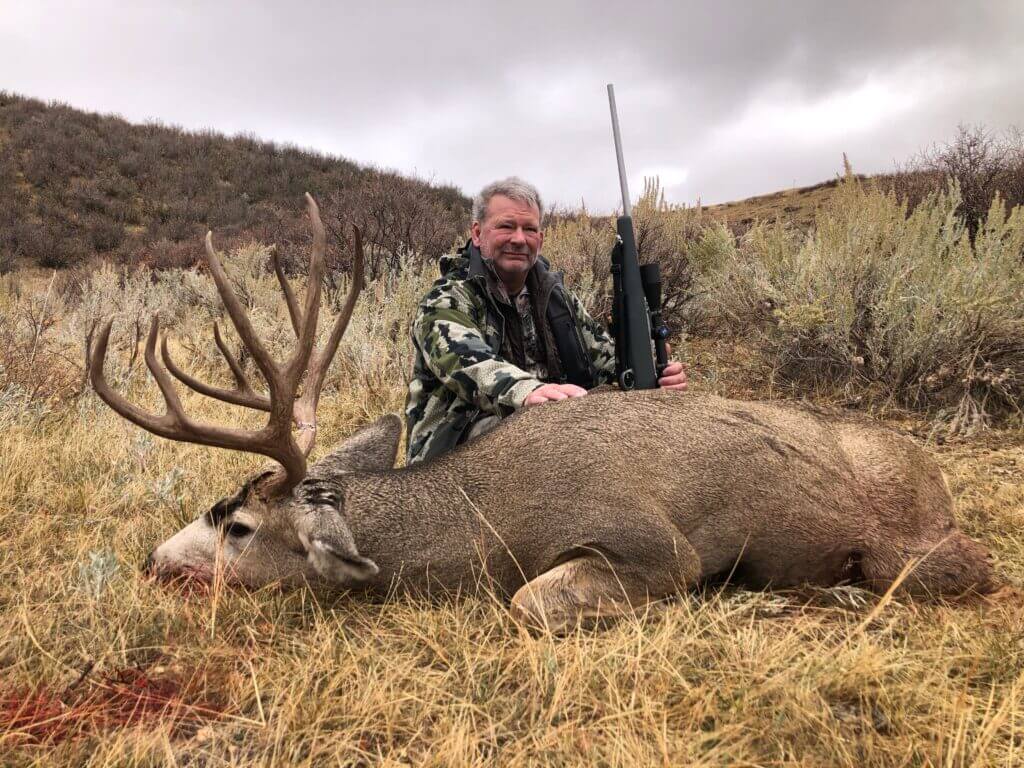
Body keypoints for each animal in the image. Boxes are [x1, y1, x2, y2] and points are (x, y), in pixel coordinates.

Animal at [90, 195, 995, 633]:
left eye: (239, 527)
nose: (154, 560)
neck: (489, 516)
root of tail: (933, 468)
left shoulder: (656, 547)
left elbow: (529, 604)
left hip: (911, 544)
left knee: (965, 566)